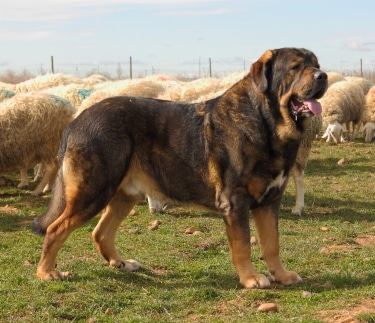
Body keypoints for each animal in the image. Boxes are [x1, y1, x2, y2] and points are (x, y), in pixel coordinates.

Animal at [33, 47, 328, 288]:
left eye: (316, 63)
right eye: (295, 67)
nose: (323, 76)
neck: (266, 123)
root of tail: (76, 121)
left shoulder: (270, 201)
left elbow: (272, 243)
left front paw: (281, 274)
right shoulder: (235, 201)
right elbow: (243, 244)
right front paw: (251, 278)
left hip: (123, 195)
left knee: (100, 232)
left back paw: (121, 263)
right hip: (93, 192)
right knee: (56, 229)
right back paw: (47, 272)